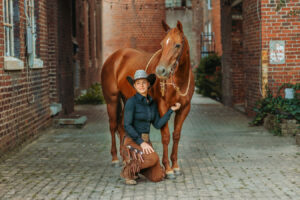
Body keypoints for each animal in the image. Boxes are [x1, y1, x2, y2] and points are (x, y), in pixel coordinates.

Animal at [101, 21, 195, 179]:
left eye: (177, 45)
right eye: (162, 44)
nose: (161, 71)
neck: (178, 80)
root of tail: (114, 57)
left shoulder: (184, 109)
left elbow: (176, 136)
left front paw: (175, 166)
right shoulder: (162, 107)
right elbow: (166, 136)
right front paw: (168, 169)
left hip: (127, 99)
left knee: (122, 126)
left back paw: (126, 158)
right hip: (112, 101)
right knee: (113, 126)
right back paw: (115, 159)